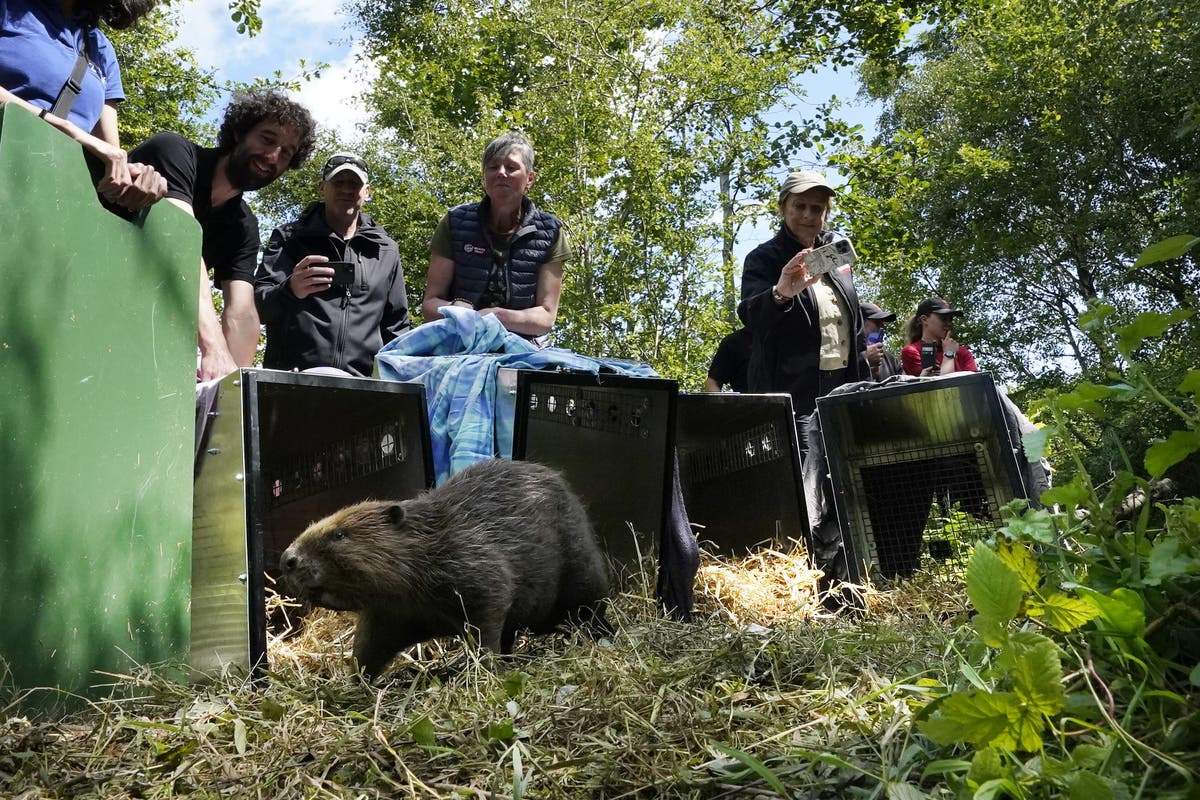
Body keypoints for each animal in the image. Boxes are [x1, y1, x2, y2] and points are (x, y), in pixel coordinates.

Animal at [278, 460, 609, 681]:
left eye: (339, 535)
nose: (287, 559)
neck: (430, 544)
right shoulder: (388, 613)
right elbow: (368, 646)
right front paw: (353, 683)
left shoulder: (473, 566)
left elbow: (490, 611)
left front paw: (482, 669)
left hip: (581, 572)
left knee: (593, 608)